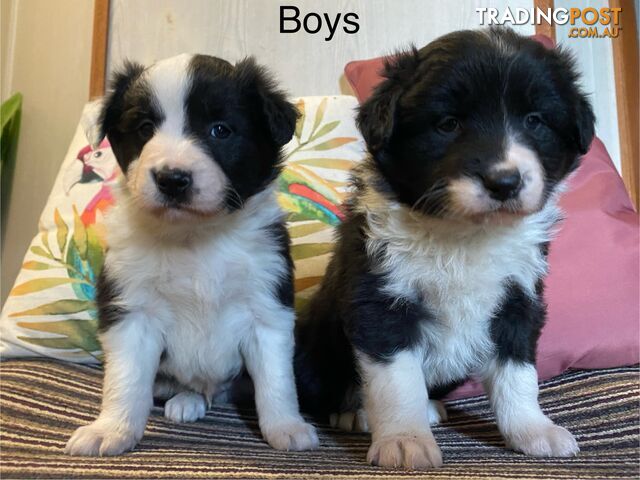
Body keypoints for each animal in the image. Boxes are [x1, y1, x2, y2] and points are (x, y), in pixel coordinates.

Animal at [63, 54, 318, 456]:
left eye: (220, 130)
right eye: (145, 128)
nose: (172, 179)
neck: (195, 237)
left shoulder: (267, 306)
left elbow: (276, 380)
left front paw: (286, 427)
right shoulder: (132, 309)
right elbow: (125, 379)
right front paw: (112, 429)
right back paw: (186, 400)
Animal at [296, 29, 596, 468]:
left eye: (534, 120)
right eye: (448, 124)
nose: (504, 182)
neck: (464, 235)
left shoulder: (519, 297)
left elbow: (519, 373)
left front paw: (532, 430)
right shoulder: (380, 300)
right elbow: (397, 381)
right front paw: (405, 439)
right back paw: (355, 412)